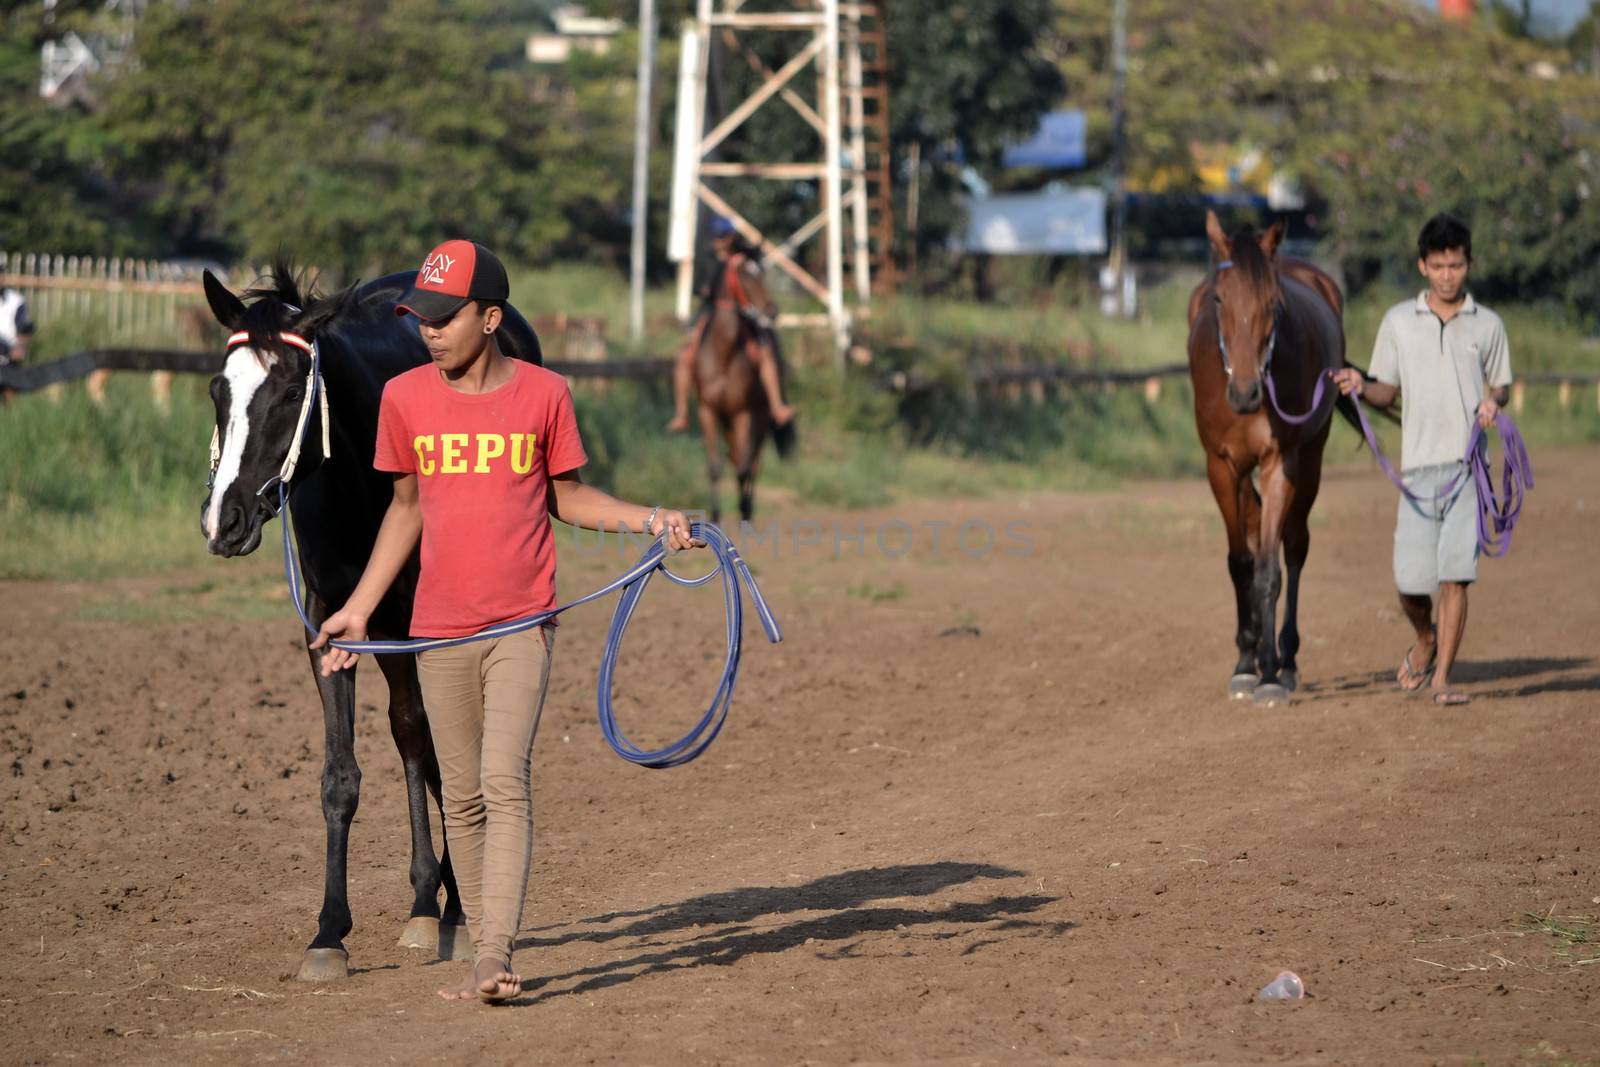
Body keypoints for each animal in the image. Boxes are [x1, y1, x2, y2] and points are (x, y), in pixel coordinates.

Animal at [198, 267, 550, 985]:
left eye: (289, 392)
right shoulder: (332, 622)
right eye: (219, 389)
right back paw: (423, 900)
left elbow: (450, 749)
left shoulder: (430, 624)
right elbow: (345, 774)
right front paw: (330, 932)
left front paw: (457, 910)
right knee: (410, 734)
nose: (226, 520)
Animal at [694, 259, 800, 524]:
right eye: (744, 275)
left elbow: (743, 468)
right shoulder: (708, 411)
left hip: (759, 419)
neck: (724, 353)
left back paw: (748, 510)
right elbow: (715, 468)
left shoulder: (743, 413)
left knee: (752, 463)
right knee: (737, 457)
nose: (771, 311)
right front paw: (715, 516)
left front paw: (744, 509)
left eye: (762, 273)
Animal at [1190, 211, 1363, 703]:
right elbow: (1241, 564)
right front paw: (1244, 664)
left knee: (1295, 546)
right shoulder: (1222, 467)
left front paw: (1267, 674)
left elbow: (1270, 570)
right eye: (1219, 297)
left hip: (1311, 459)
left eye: (1274, 302)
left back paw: (1285, 660)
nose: (1246, 392)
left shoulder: (1278, 464)